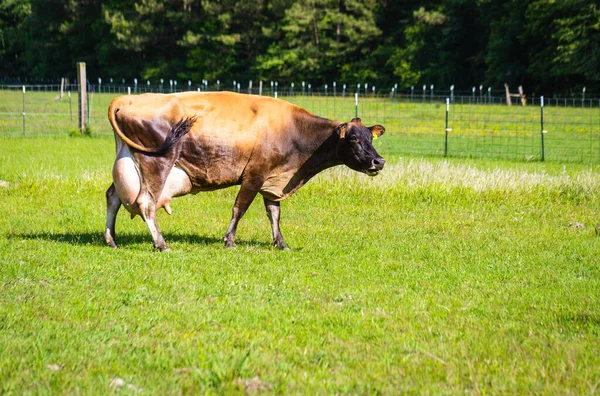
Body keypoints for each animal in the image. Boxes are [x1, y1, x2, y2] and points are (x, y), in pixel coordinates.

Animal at [103, 92, 386, 251]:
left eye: (370, 139)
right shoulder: (255, 174)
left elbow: (274, 214)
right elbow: (240, 208)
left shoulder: (273, 180)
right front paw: (229, 241)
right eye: (354, 139)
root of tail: (129, 97)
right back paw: (161, 244)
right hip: (157, 164)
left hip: (128, 163)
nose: (379, 161)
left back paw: (111, 240)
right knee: (146, 204)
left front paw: (281, 244)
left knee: (113, 196)